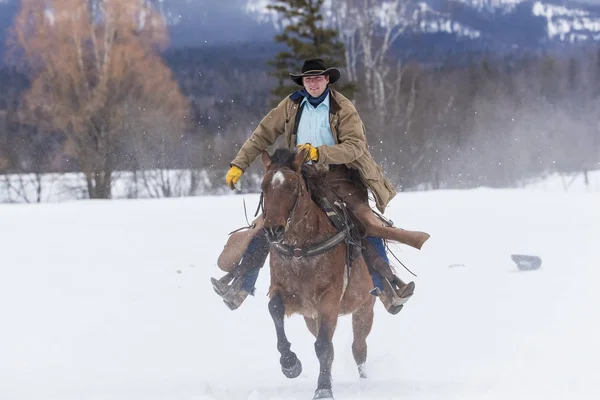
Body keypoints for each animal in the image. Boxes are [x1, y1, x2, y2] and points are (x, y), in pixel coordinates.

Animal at [262, 149, 376, 400]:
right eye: (264, 187)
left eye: (293, 187)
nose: (273, 230)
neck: (300, 249)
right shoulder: (285, 290)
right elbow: (275, 308)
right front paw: (289, 363)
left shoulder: (330, 297)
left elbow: (324, 347)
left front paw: (323, 388)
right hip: (310, 317)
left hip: (364, 306)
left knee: (359, 348)